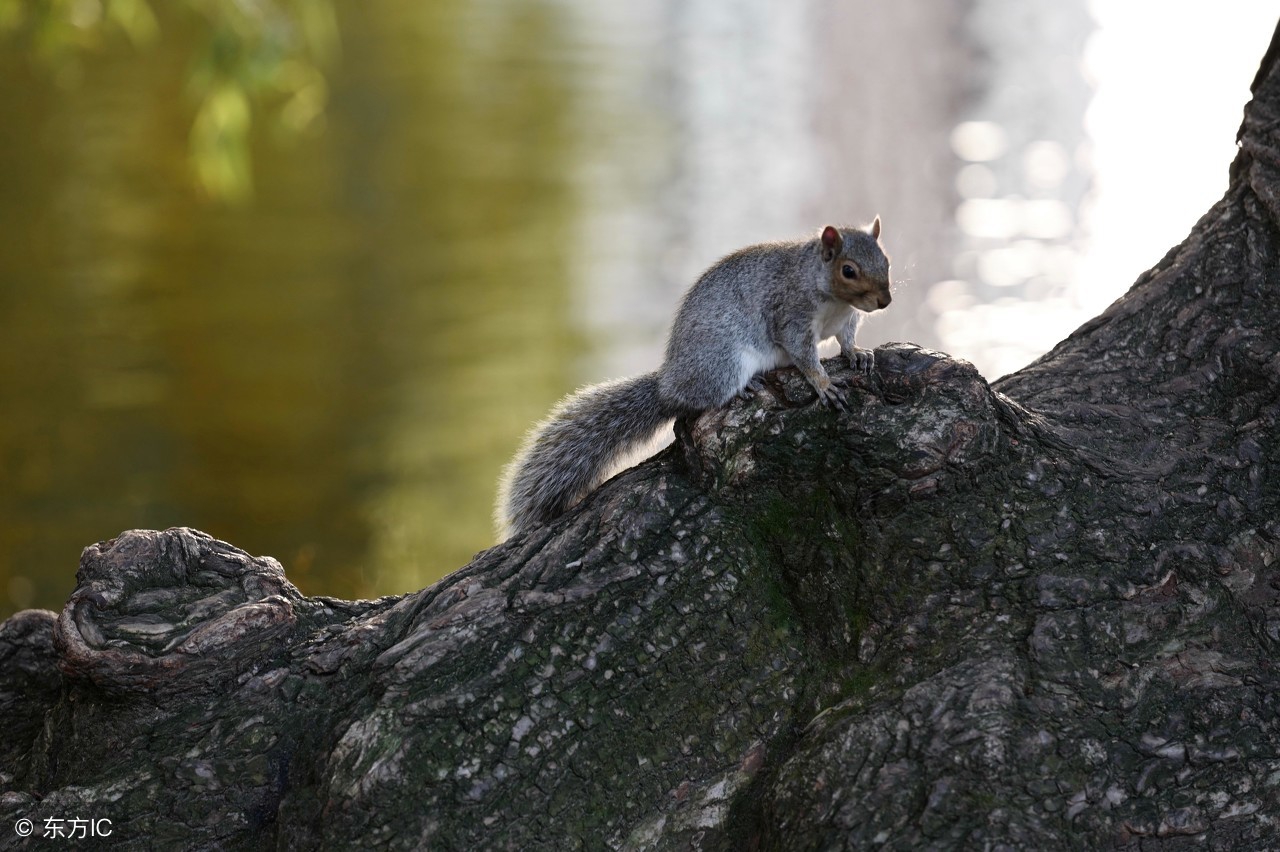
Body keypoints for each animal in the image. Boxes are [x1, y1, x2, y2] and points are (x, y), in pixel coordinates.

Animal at [494, 218, 896, 537]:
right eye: (848, 270)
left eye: (886, 260)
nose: (885, 302)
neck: (833, 299)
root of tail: (668, 384)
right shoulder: (790, 314)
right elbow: (803, 354)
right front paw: (824, 384)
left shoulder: (844, 320)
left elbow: (846, 339)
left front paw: (856, 353)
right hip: (722, 361)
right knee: (701, 398)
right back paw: (742, 388)